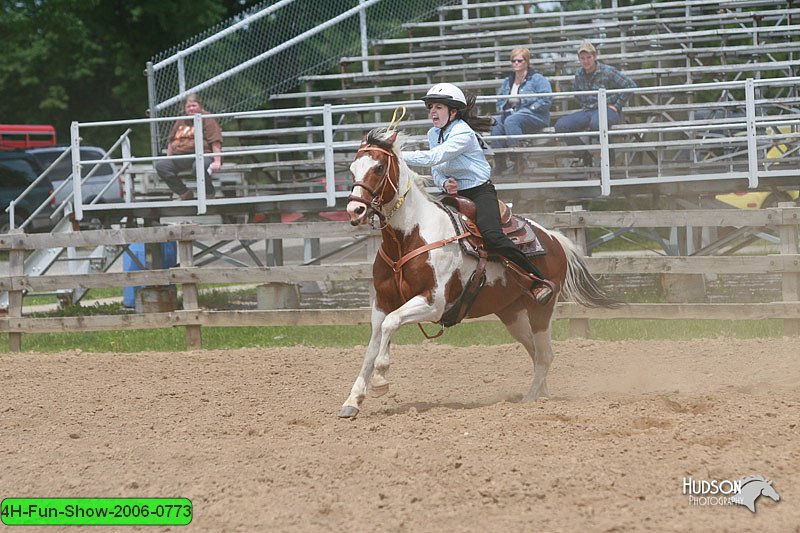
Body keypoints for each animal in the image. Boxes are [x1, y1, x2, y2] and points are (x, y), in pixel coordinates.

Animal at [338, 127, 620, 418]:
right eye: (353, 168)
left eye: (379, 167)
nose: (355, 210)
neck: (408, 238)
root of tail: (554, 238)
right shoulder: (381, 303)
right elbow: (373, 345)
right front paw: (353, 400)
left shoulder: (434, 303)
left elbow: (391, 324)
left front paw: (381, 379)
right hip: (511, 313)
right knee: (535, 352)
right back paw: (542, 395)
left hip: (540, 309)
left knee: (545, 354)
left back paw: (531, 399)